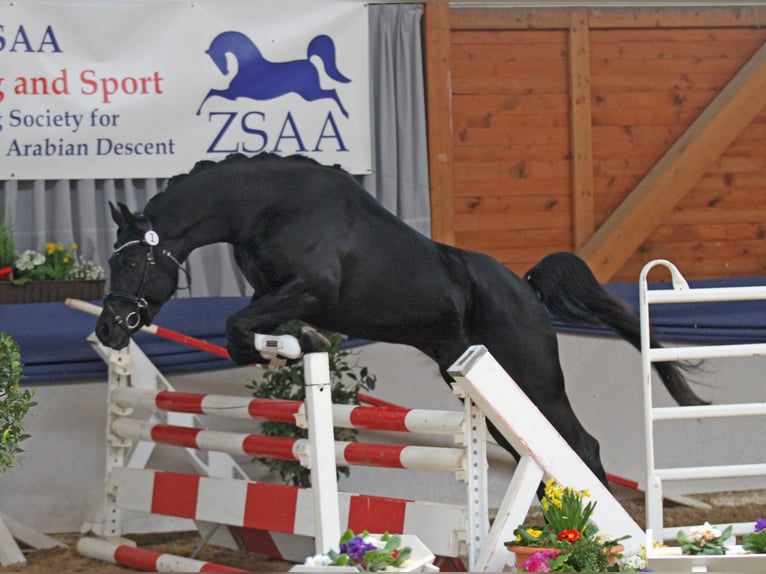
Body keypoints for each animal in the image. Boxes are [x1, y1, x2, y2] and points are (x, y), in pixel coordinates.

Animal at [95, 152, 706, 487]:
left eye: (130, 262)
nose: (107, 329)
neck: (267, 207)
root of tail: (527, 291)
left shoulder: (312, 288)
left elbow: (240, 324)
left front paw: (261, 348)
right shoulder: (279, 293)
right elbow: (271, 322)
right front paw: (297, 344)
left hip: (532, 375)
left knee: (581, 445)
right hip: (487, 385)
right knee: (532, 449)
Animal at [196, 31, 351, 117]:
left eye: (216, 57)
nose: (225, 72)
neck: (250, 67)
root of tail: (309, 61)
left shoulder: (232, 93)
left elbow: (212, 92)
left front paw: (198, 111)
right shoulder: (232, 94)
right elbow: (212, 92)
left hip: (310, 94)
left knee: (332, 92)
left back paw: (345, 113)